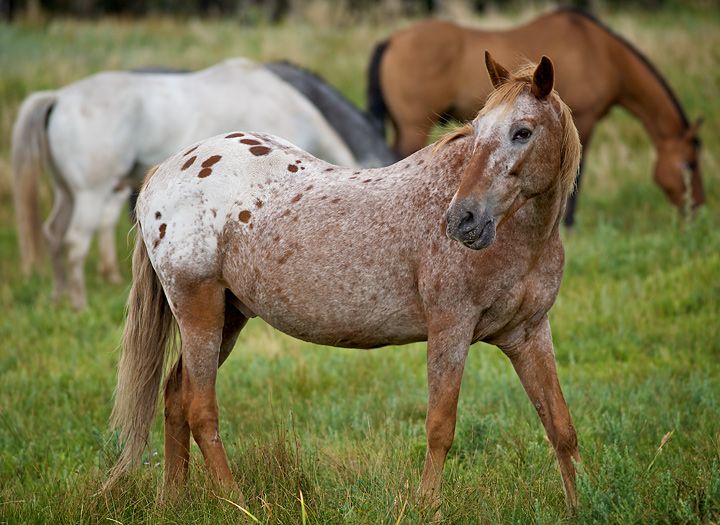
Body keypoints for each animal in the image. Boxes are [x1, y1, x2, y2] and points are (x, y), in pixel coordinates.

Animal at [14, 58, 366, 310]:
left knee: (53, 234)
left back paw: (58, 299)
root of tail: (58, 98)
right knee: (74, 242)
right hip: (91, 192)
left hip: (67, 192)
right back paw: (79, 304)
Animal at [108, 54, 584, 512]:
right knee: (200, 409)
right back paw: (235, 503)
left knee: (175, 397)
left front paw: (580, 506)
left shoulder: (528, 333)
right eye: (479, 129)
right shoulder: (451, 329)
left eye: (523, 132)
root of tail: (166, 170)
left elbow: (560, 426)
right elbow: (440, 429)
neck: (521, 238)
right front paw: (428, 508)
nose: (463, 220)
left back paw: (173, 500)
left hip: (228, 316)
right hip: (199, 310)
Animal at [368, 7, 704, 225]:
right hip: (412, 126)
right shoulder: (585, 120)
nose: (697, 207)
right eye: (689, 164)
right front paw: (569, 223)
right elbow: (578, 173)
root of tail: (392, 40)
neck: (602, 53)